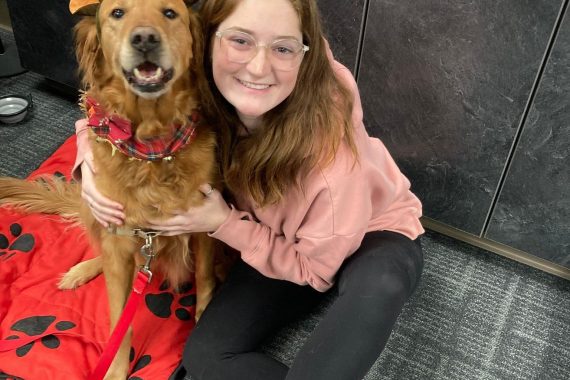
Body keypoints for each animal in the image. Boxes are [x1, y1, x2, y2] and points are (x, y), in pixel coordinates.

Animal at [0, 1, 224, 378]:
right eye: (118, 13)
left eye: (170, 13)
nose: (144, 39)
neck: (152, 148)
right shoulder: (120, 241)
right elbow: (121, 320)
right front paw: (116, 370)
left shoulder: (202, 228)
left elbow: (205, 285)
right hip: (97, 213)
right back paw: (81, 270)